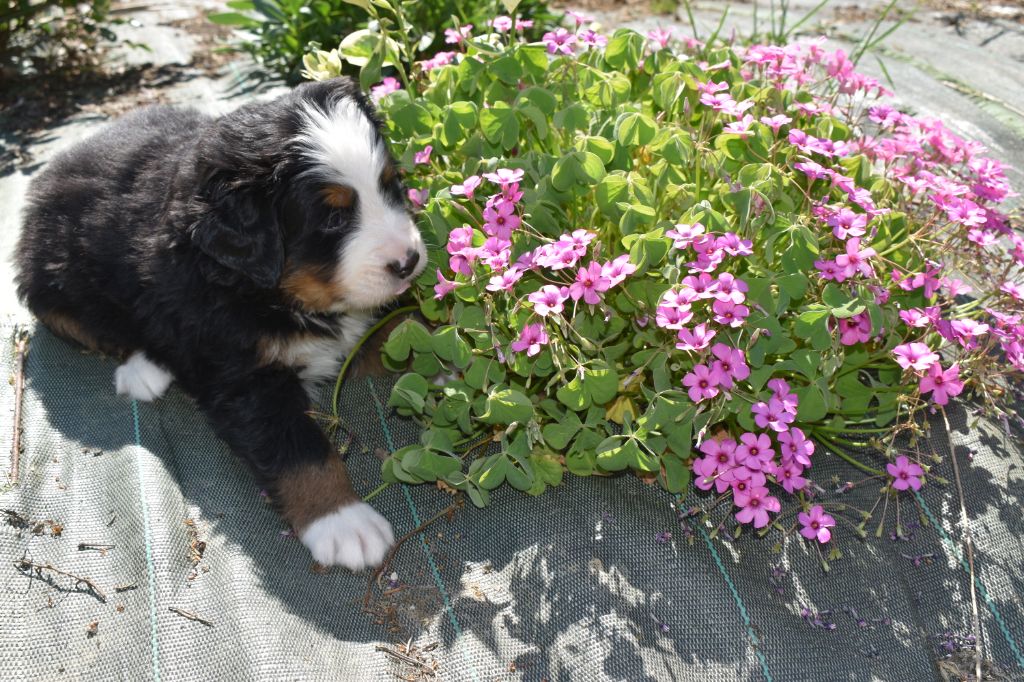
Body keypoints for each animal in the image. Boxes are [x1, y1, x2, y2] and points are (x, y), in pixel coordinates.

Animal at [15, 77, 426, 570]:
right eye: (333, 218)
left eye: (390, 185)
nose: (409, 262)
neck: (269, 291)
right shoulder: (245, 378)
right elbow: (300, 450)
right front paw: (343, 520)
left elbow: (396, 333)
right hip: (53, 282)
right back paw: (145, 369)